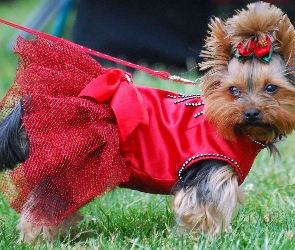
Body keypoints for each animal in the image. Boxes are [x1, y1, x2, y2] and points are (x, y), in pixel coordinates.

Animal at [0, 1, 295, 244]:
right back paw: (38, 239)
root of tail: (29, 103)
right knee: (43, 206)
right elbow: (202, 211)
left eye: (271, 88)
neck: (232, 128)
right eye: (233, 91)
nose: (251, 113)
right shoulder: (209, 172)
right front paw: (203, 239)